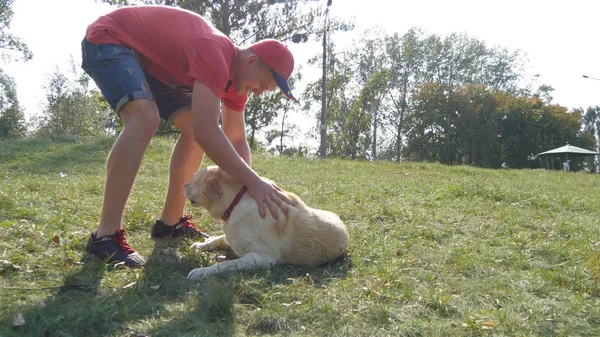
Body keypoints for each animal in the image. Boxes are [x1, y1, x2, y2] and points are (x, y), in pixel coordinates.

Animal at [185, 165, 350, 278]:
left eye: (194, 180)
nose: (184, 184)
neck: (236, 201)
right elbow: (218, 239)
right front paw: (201, 244)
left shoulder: (263, 258)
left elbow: (227, 264)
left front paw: (202, 271)